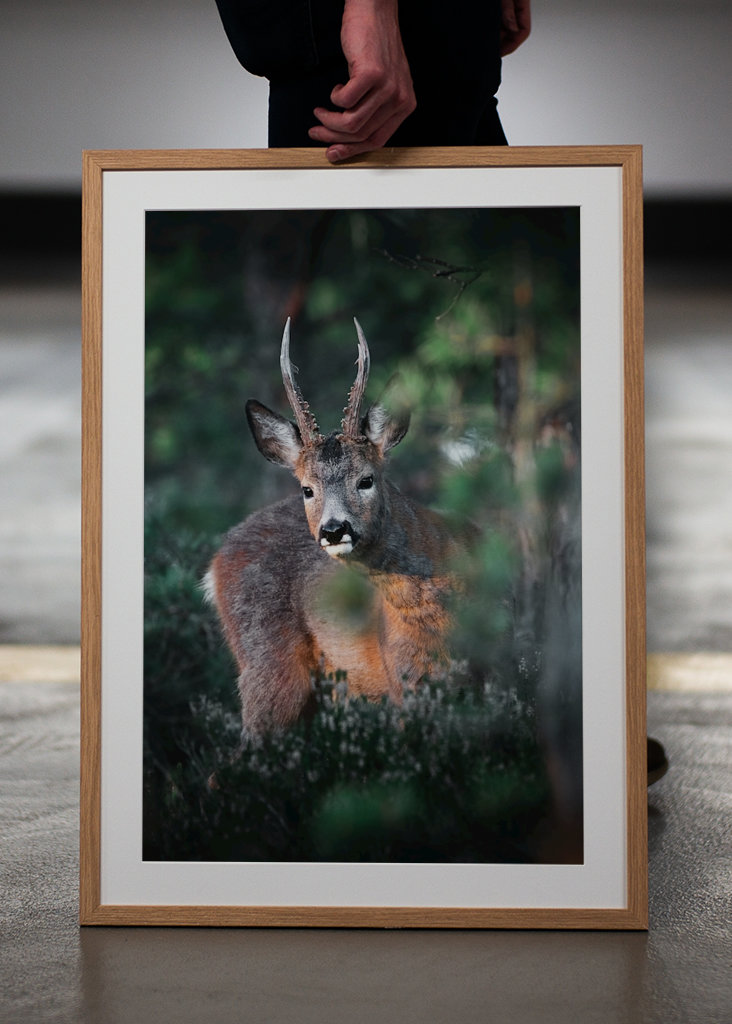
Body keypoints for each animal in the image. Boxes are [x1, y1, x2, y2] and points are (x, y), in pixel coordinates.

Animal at [205, 318, 467, 735]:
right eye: (307, 489)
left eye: (366, 479)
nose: (332, 529)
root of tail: (216, 561)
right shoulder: (403, 682)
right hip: (268, 665)